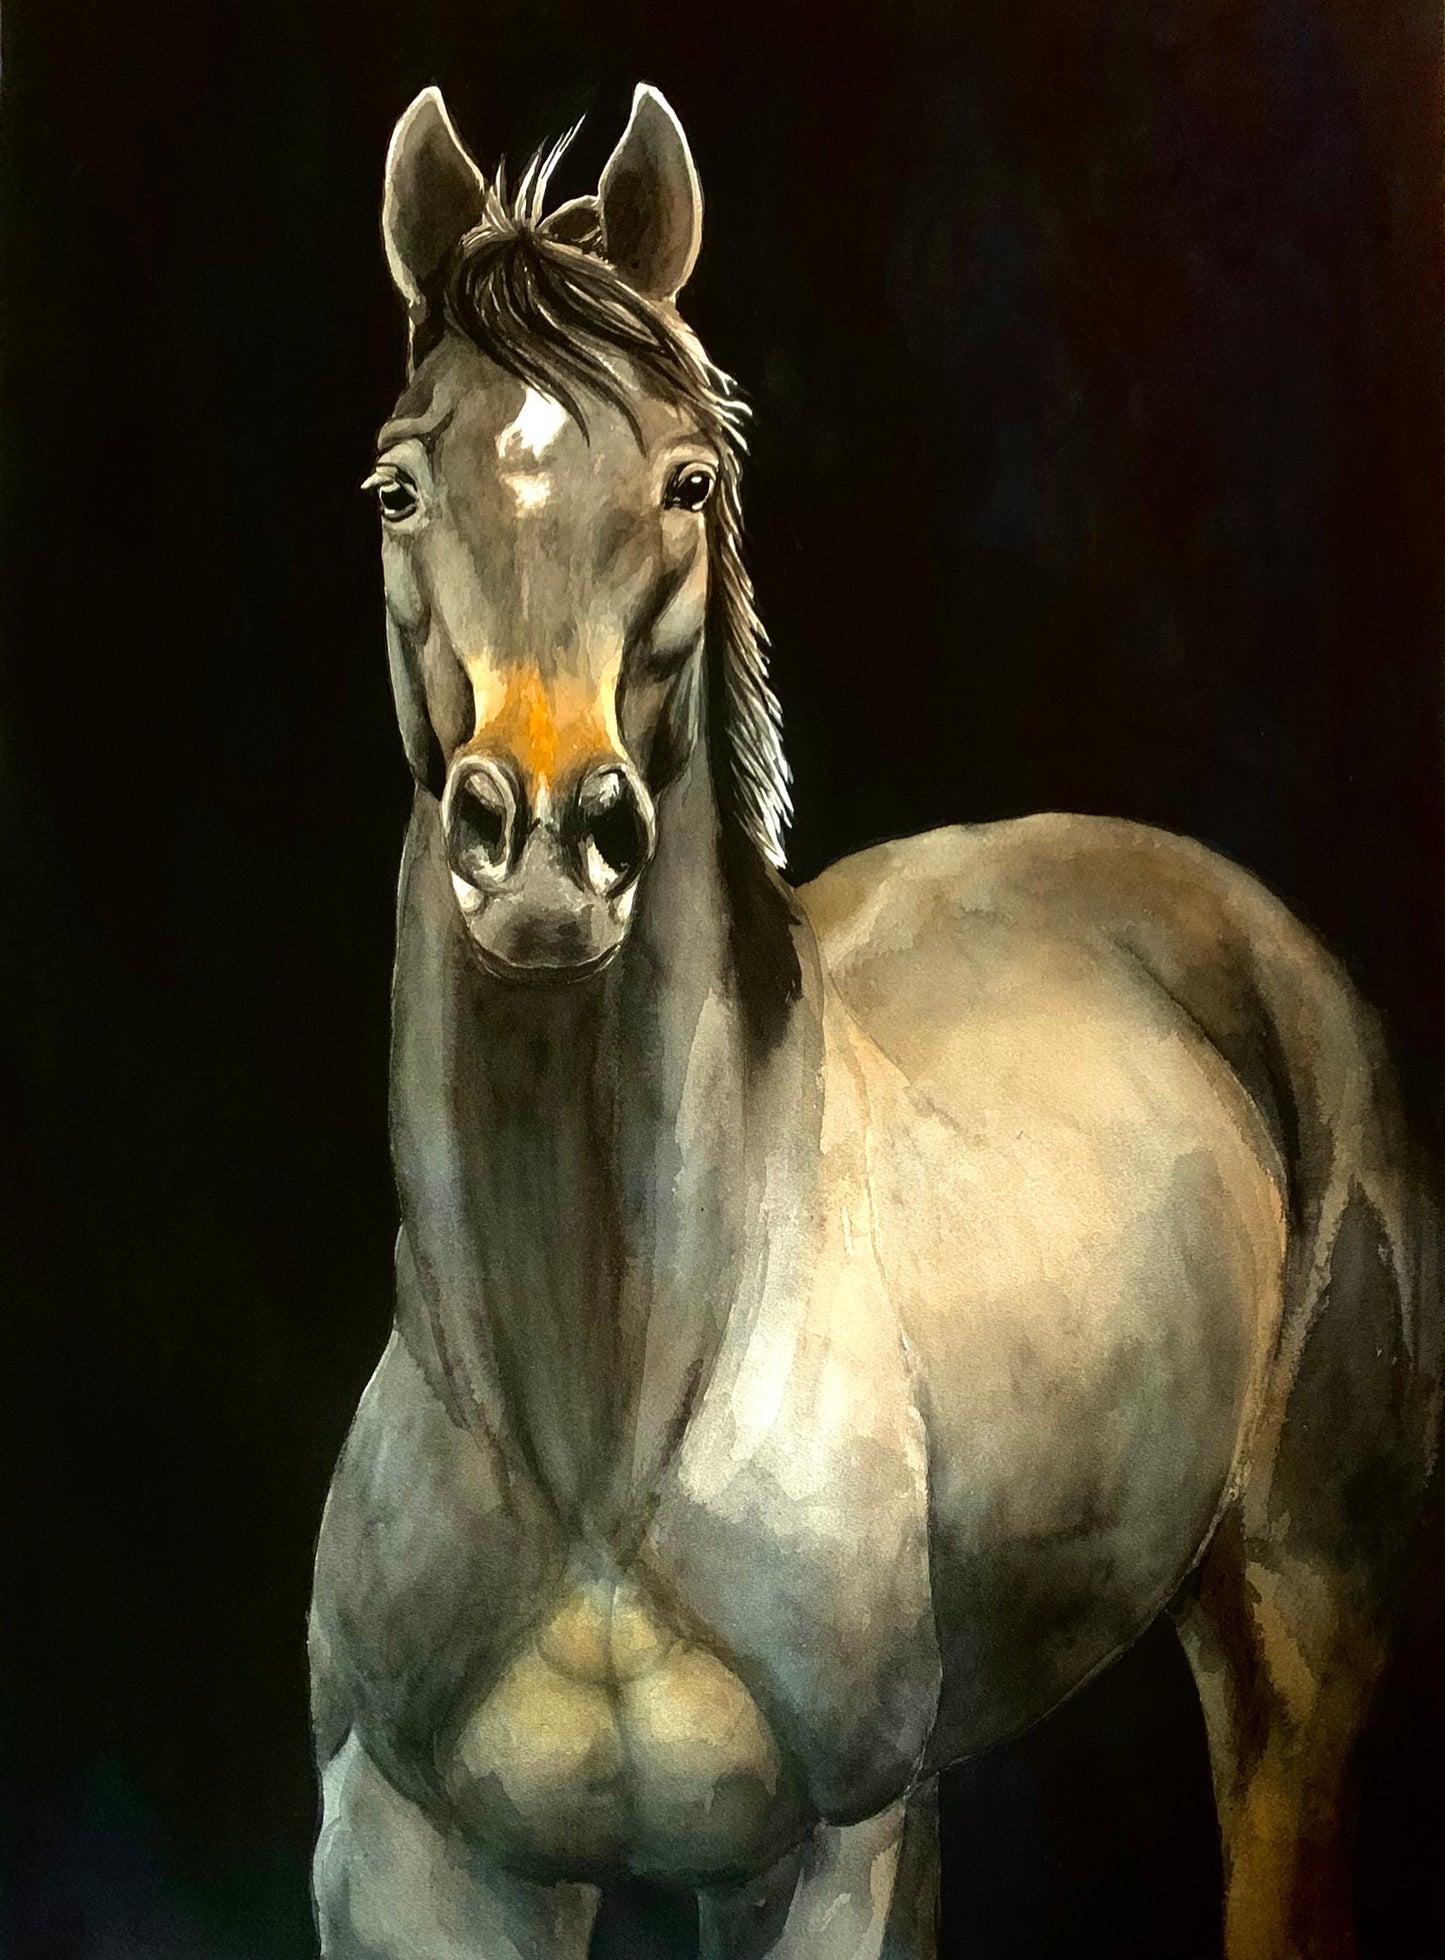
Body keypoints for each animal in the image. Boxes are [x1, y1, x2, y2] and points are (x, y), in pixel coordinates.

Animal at [308, 82, 1443, 1960]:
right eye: (398, 485)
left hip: (1304, 1623)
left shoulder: (834, 1850)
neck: (602, 1430)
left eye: (687, 478)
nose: (542, 840)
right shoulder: (414, 1860)